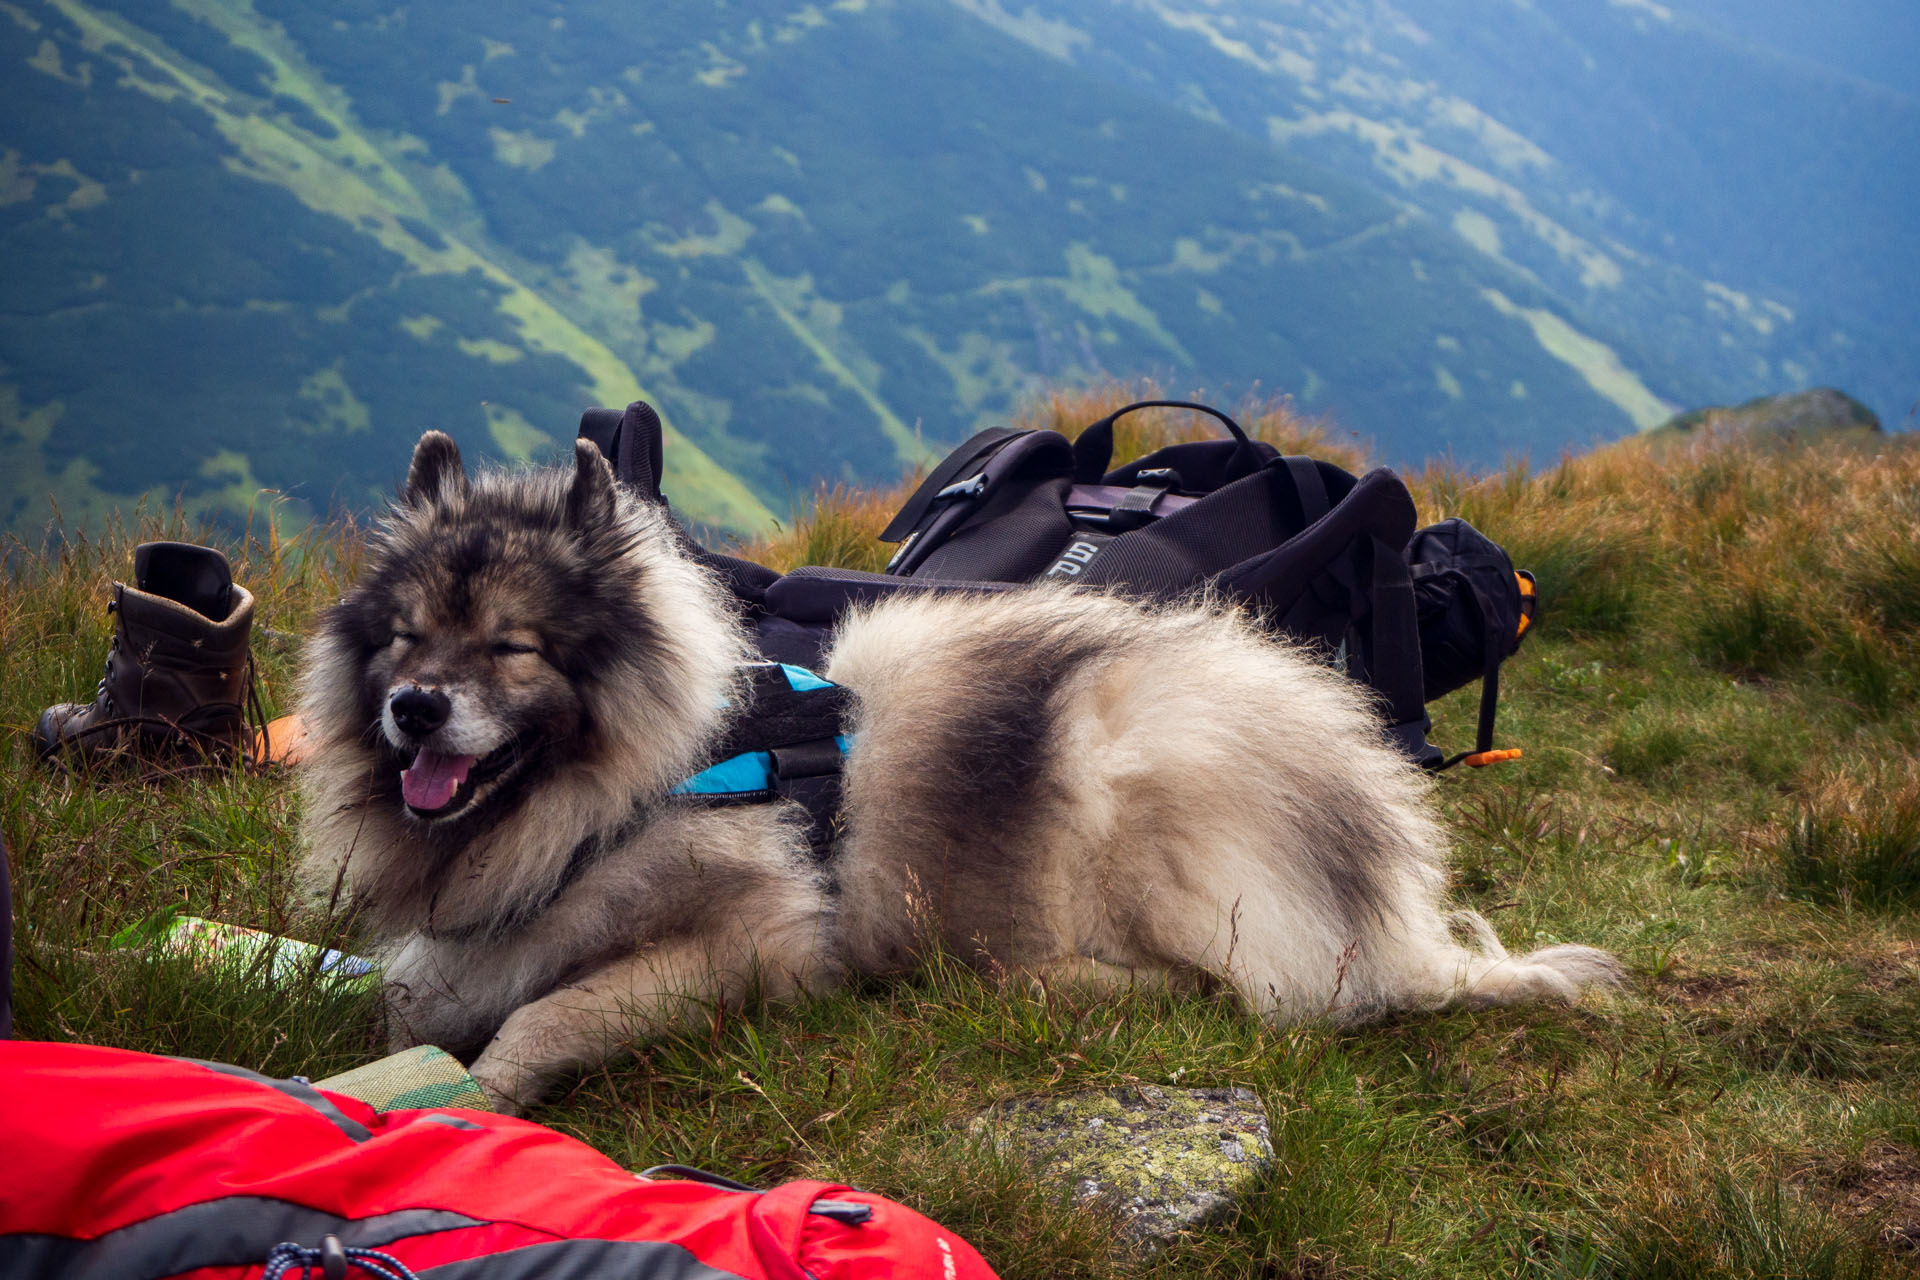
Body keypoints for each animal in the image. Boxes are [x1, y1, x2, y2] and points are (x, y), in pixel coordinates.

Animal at [299, 433, 1620, 1113]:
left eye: (513, 647)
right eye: (407, 637)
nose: (415, 709)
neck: (629, 783)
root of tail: (1397, 896)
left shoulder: (753, 940)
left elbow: (550, 1010)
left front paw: (477, 1094)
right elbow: (411, 998)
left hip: (1130, 770)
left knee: (1230, 997)